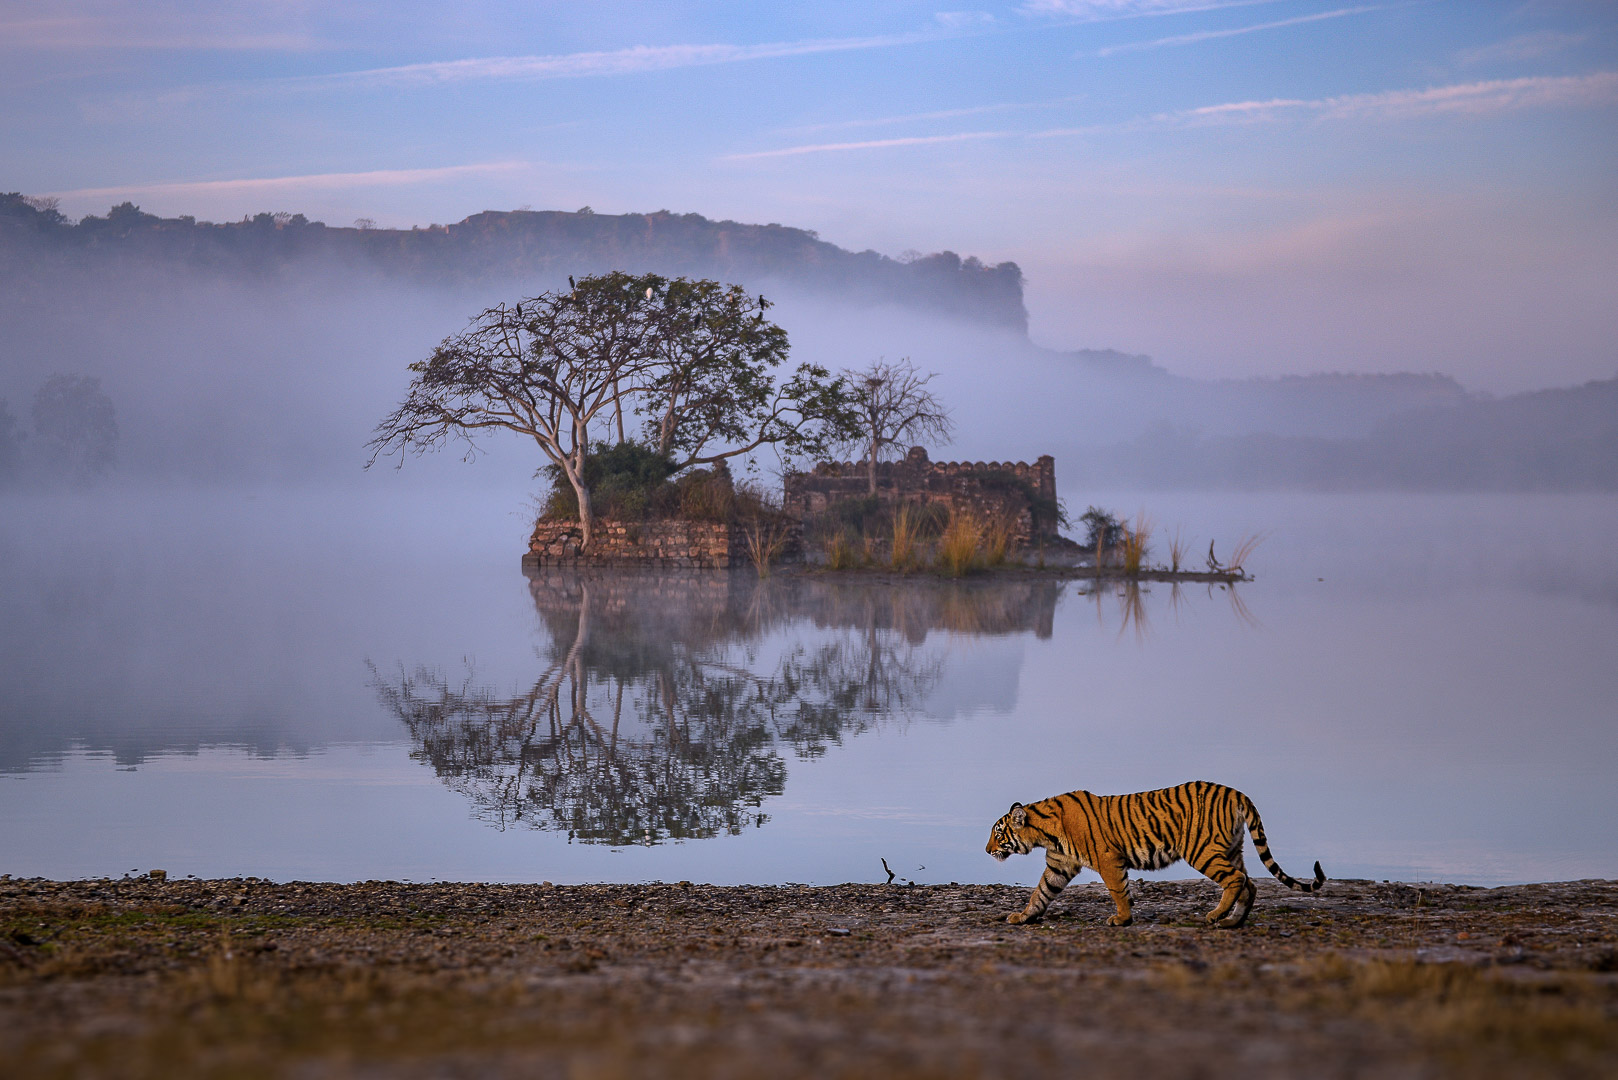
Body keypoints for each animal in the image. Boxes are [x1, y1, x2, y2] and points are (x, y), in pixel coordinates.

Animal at [983, 777, 1326, 932]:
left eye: (998, 834)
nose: (987, 850)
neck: (1045, 833)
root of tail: (1236, 792)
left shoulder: (1108, 859)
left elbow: (1118, 890)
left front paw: (1122, 919)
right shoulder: (1059, 865)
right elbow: (1040, 892)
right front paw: (1023, 916)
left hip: (1202, 850)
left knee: (1236, 879)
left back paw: (1215, 916)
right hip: (1231, 848)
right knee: (1249, 884)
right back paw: (1233, 921)